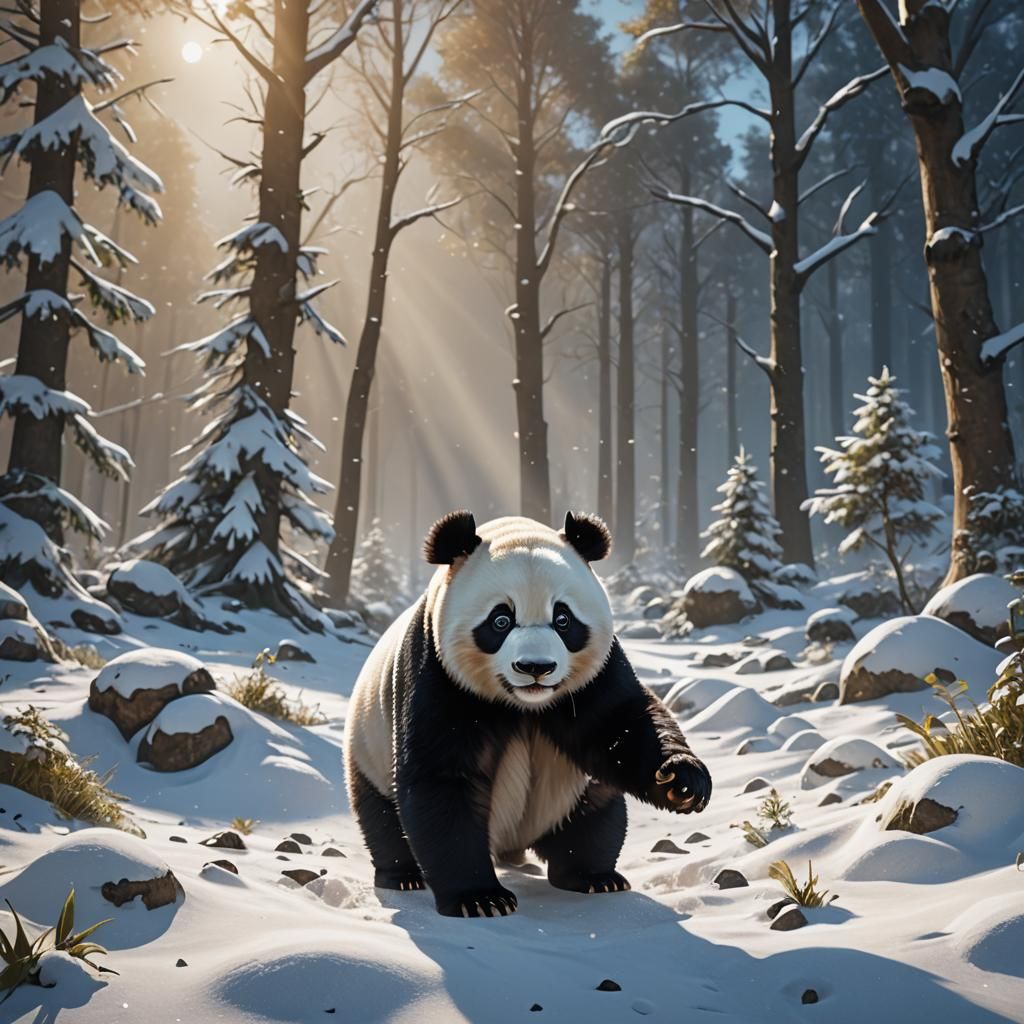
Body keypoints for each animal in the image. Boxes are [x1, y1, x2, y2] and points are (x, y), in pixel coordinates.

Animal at [344, 510, 712, 918]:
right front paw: (480, 899)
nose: (536, 667)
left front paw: (683, 782)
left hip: (569, 796)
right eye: (501, 620)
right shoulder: (437, 675)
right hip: (369, 746)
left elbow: (623, 725)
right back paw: (402, 876)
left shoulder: (595, 676)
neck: (524, 705)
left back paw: (592, 875)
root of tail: (512, 843)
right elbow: (441, 777)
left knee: (596, 813)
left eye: (563, 619)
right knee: (382, 817)